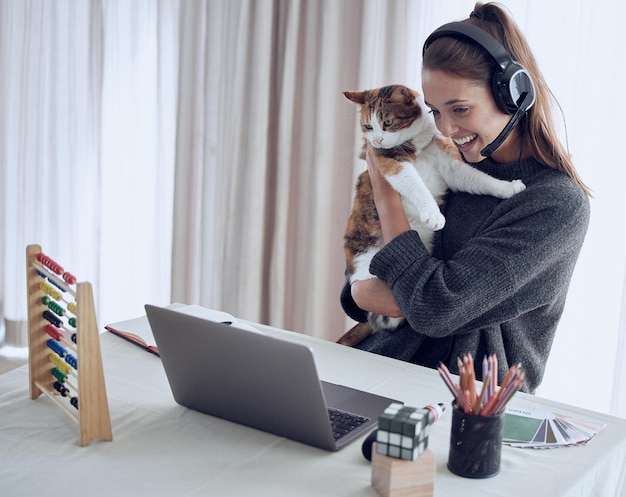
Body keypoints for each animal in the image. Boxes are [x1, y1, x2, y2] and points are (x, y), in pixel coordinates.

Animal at [334, 84, 524, 344]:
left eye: (388, 122)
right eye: (368, 127)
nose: (378, 140)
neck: (418, 144)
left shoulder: (451, 167)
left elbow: (479, 179)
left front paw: (508, 187)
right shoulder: (390, 162)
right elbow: (415, 184)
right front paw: (433, 213)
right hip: (366, 266)